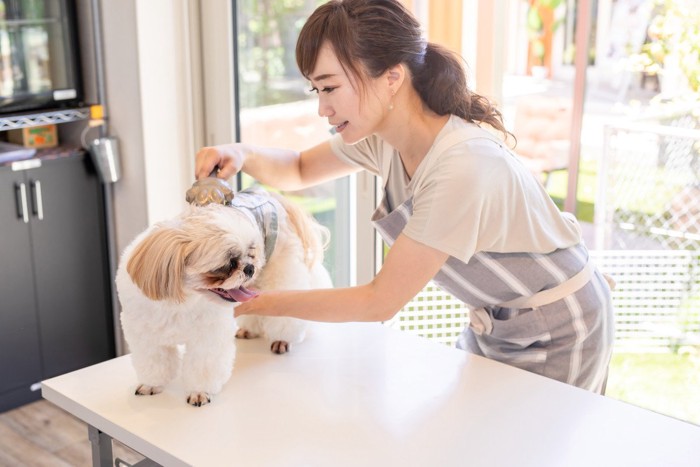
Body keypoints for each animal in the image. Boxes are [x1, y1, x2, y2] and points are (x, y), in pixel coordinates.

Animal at [115, 188, 334, 408]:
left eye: (250, 253)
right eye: (228, 264)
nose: (249, 267)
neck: (183, 302)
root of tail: (271, 195)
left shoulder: (208, 338)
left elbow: (203, 366)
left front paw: (199, 392)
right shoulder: (146, 337)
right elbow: (154, 363)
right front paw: (152, 384)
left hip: (279, 271)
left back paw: (282, 339)